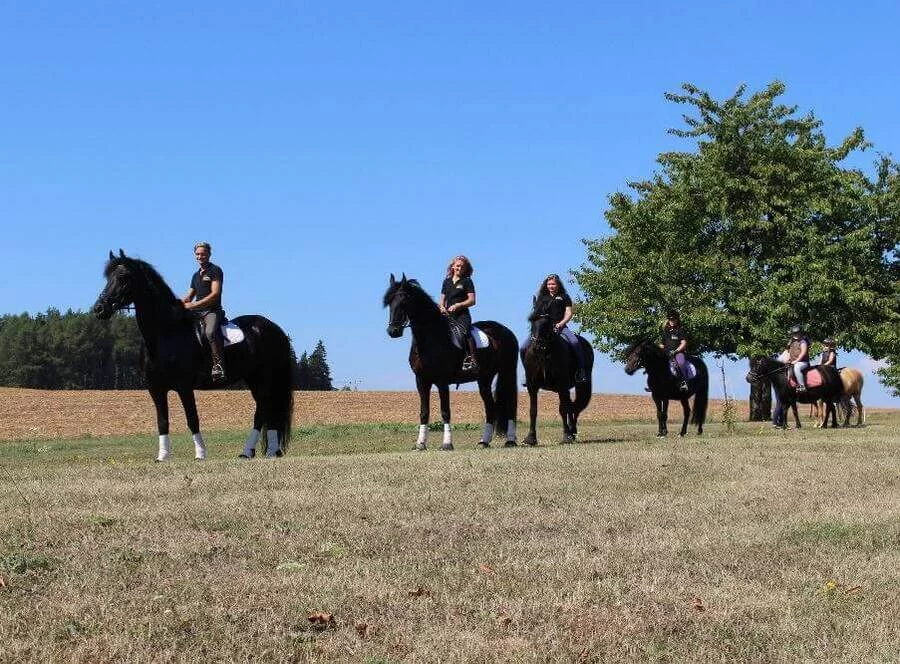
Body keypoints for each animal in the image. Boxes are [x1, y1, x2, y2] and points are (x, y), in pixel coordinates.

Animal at [94, 252, 296, 460]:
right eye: (108, 277)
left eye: (123, 277)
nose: (99, 309)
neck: (166, 332)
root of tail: (275, 329)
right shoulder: (156, 389)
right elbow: (162, 421)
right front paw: (163, 456)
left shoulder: (184, 387)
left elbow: (192, 419)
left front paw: (200, 454)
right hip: (254, 379)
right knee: (268, 410)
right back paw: (269, 451)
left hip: (264, 377)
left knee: (263, 410)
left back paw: (251, 451)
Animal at [382, 272, 520, 448]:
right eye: (389, 302)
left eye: (404, 299)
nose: (393, 331)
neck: (431, 338)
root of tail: (506, 331)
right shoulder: (421, 381)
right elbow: (424, 412)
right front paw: (420, 444)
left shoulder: (442, 381)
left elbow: (445, 411)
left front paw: (447, 444)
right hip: (484, 378)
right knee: (490, 407)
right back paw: (484, 441)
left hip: (507, 372)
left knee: (510, 406)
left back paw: (510, 440)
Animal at [516, 316, 596, 446]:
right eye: (532, 324)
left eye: (547, 325)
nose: (537, 347)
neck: (544, 354)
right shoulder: (532, 387)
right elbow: (533, 411)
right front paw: (530, 438)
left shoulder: (561, 386)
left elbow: (563, 410)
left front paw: (566, 437)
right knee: (571, 405)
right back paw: (572, 432)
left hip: (581, 385)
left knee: (575, 407)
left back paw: (572, 432)